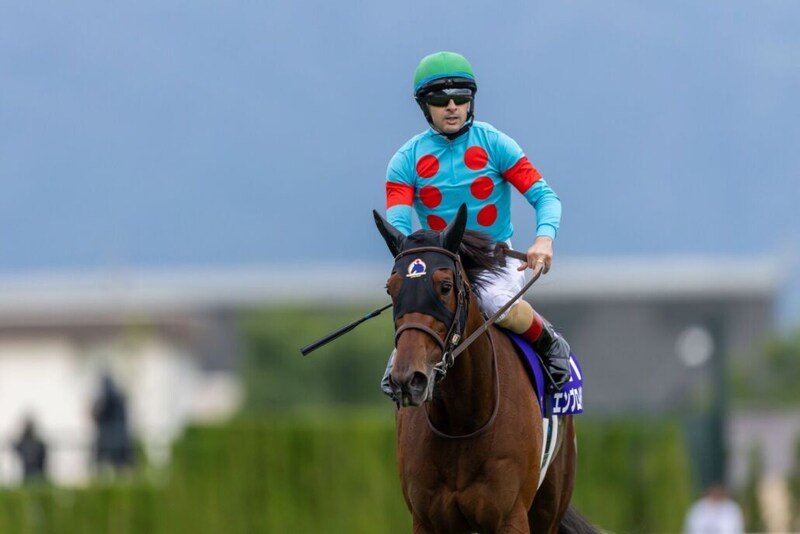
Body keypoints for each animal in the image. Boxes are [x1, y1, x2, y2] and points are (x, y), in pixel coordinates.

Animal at [374, 205, 596, 534]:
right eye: (391, 289)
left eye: (445, 286)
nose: (407, 379)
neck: (461, 421)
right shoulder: (426, 520)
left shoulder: (510, 517)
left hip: (549, 506)